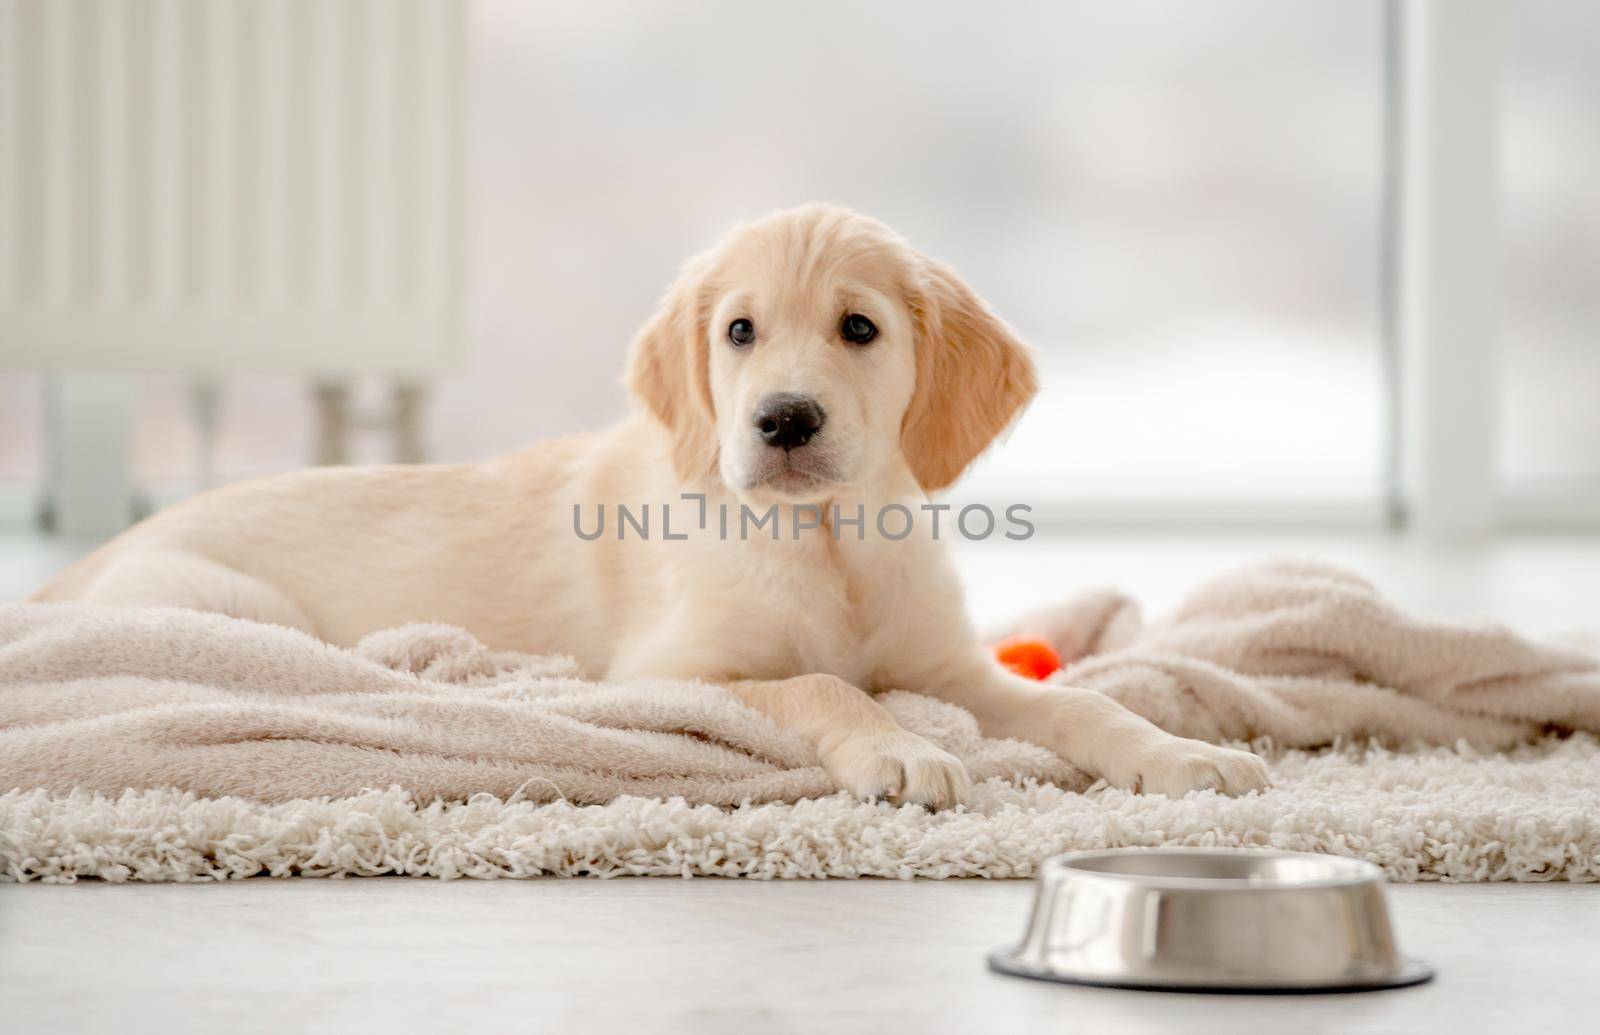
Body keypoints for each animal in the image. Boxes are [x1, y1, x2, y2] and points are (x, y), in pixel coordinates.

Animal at [31, 202, 1267, 803]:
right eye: (740, 331)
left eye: (859, 329)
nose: (783, 421)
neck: (825, 541)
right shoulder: (668, 673)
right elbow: (818, 683)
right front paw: (898, 753)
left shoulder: (952, 669)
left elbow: (1082, 702)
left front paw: (1175, 754)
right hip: (229, 608)